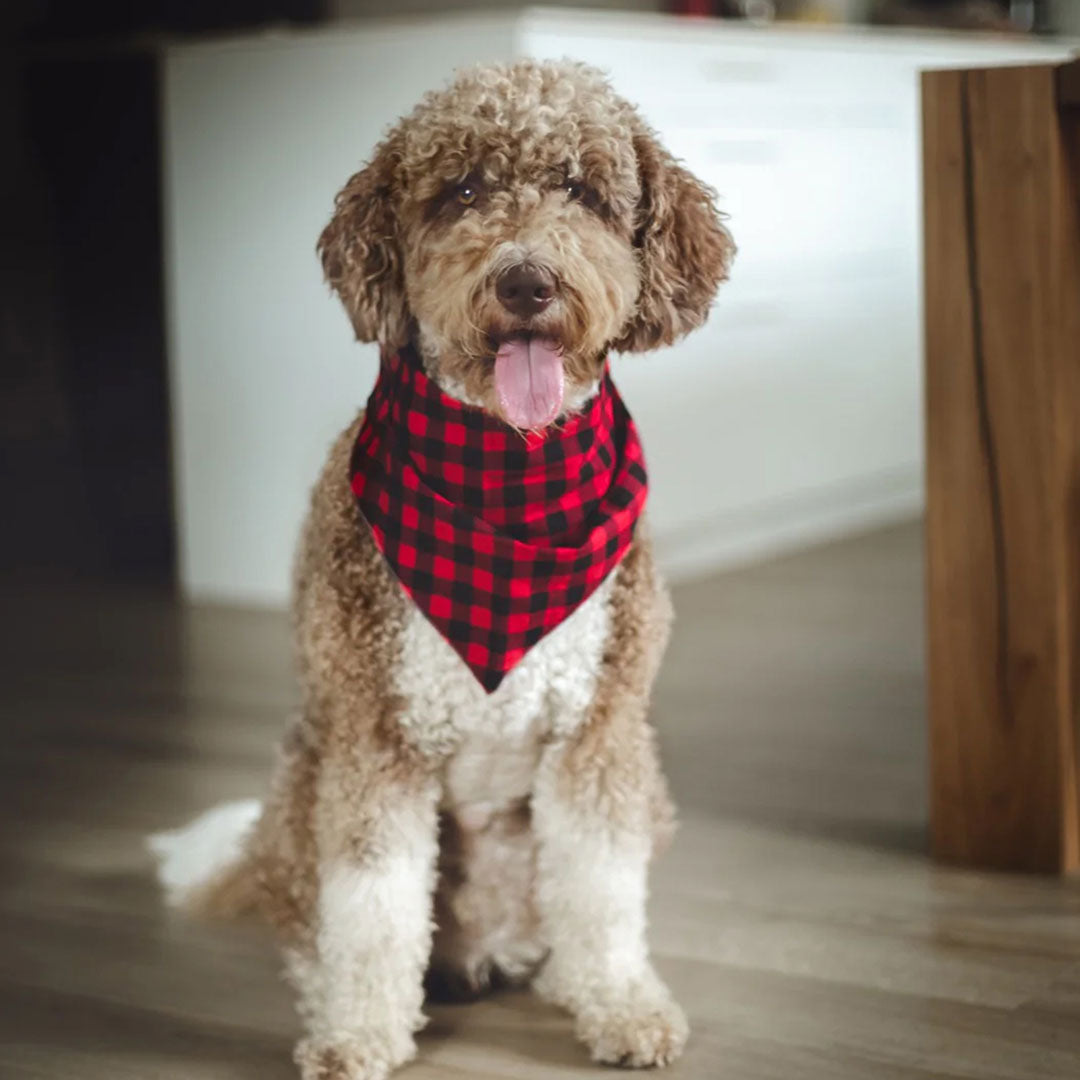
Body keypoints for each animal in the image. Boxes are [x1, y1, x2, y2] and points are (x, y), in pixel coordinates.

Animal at [150, 59, 734, 1080]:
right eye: (461, 191)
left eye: (583, 192)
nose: (527, 280)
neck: (506, 476)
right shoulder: (375, 743)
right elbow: (372, 908)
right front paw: (357, 1034)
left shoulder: (601, 733)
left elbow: (603, 888)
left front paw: (623, 1005)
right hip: (302, 787)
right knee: (312, 925)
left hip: (638, 794)